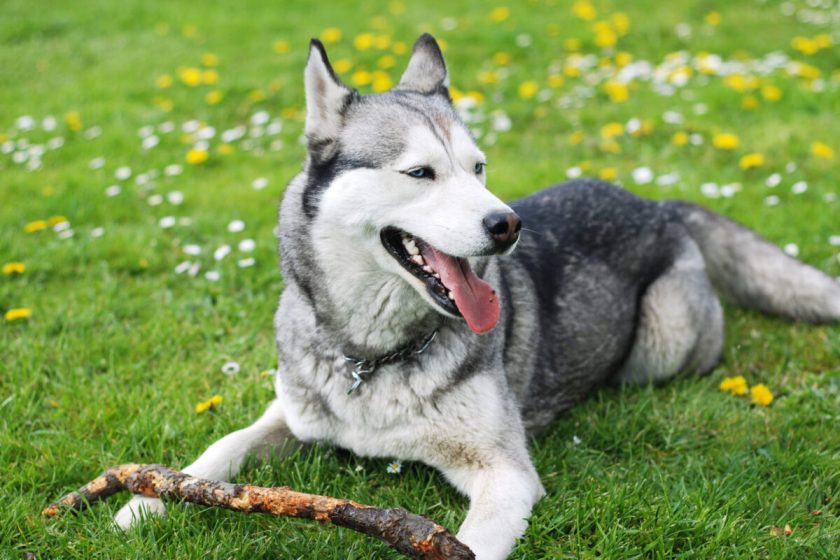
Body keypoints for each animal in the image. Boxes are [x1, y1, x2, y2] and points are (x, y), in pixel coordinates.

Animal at [116, 34, 840, 556]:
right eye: (420, 172)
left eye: (479, 168)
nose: (508, 224)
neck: (372, 357)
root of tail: (655, 201)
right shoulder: (289, 415)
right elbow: (217, 451)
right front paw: (140, 500)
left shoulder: (505, 475)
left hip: (663, 345)